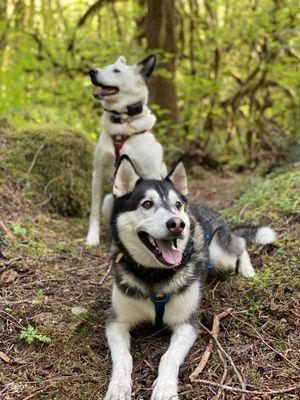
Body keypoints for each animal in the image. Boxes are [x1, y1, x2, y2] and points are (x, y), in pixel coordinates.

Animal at [85, 54, 168, 245]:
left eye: (116, 71)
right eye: (105, 66)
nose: (92, 71)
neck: (123, 123)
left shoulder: (151, 172)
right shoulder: (98, 173)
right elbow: (94, 211)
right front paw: (92, 237)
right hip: (108, 200)